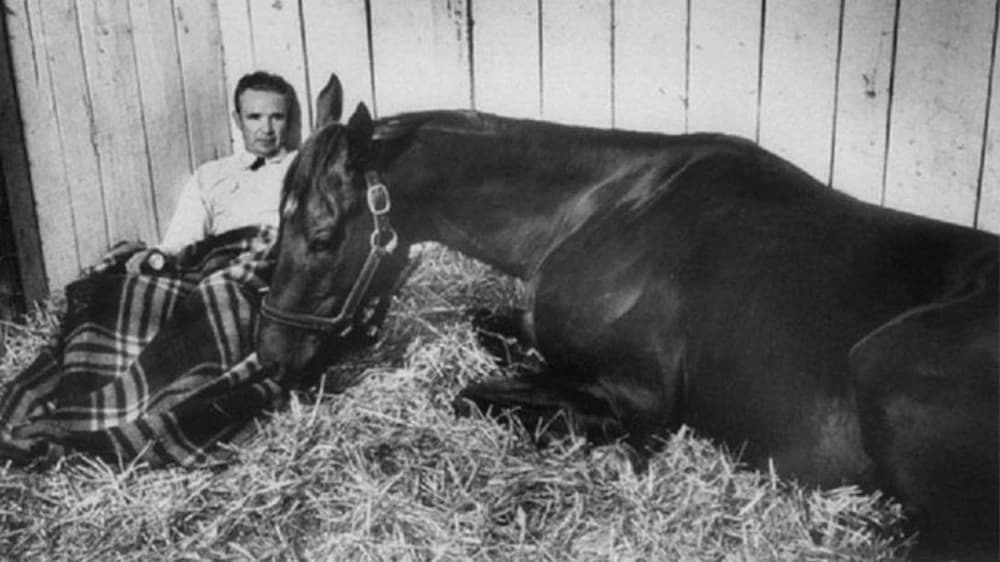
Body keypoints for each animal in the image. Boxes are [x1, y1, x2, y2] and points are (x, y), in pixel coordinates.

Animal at [257, 78, 999, 556]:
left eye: (323, 236)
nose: (272, 356)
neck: (602, 206)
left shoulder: (641, 397)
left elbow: (475, 394)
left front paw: (582, 430)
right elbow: (490, 329)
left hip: (884, 366)